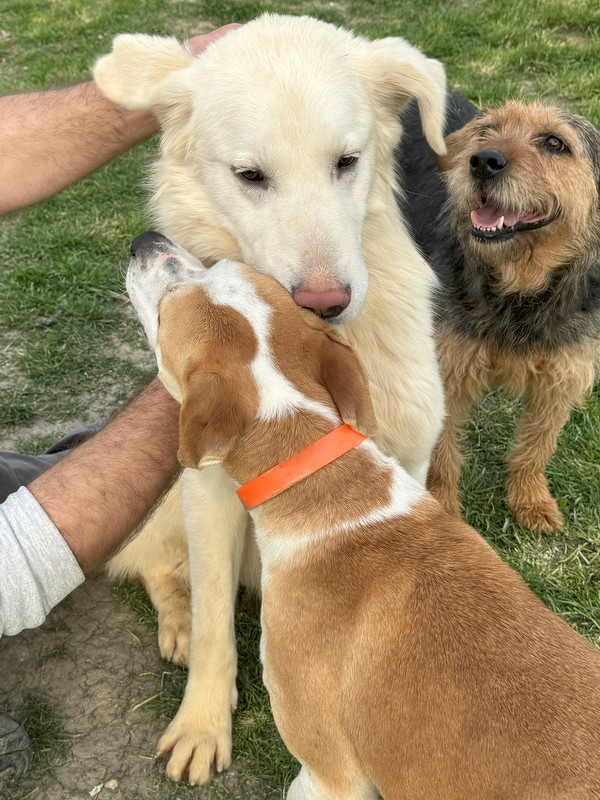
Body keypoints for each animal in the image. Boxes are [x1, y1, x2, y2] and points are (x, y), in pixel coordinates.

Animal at [94, 15, 447, 782]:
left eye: (347, 162)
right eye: (250, 175)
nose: (325, 301)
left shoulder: (410, 463)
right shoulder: (208, 490)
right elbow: (215, 623)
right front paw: (201, 724)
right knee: (156, 567)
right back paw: (175, 624)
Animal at [397, 96, 600, 532]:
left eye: (555, 143)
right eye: (487, 131)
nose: (483, 161)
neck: (520, 288)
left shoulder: (559, 380)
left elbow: (537, 446)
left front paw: (531, 500)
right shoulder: (449, 371)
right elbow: (442, 454)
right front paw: (443, 508)